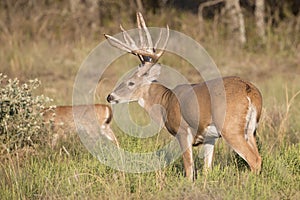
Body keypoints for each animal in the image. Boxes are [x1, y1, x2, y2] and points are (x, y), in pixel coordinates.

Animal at [105, 13, 262, 180]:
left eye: (131, 82)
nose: (109, 96)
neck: (165, 102)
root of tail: (250, 91)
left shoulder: (182, 131)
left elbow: (189, 169)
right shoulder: (210, 137)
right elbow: (207, 169)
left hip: (230, 127)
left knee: (254, 159)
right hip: (251, 129)